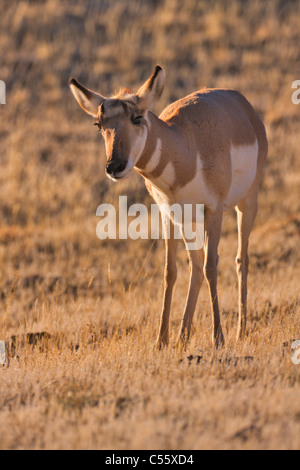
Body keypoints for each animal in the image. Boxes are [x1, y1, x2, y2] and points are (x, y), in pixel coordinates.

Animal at [69, 65, 268, 348]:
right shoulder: (169, 215)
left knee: (241, 259)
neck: (186, 147)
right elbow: (170, 271)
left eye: (137, 118)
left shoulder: (214, 210)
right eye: (99, 125)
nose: (114, 166)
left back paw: (240, 331)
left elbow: (212, 266)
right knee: (195, 265)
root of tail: (242, 104)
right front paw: (161, 341)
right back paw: (183, 335)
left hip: (246, 203)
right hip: (189, 221)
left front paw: (218, 338)